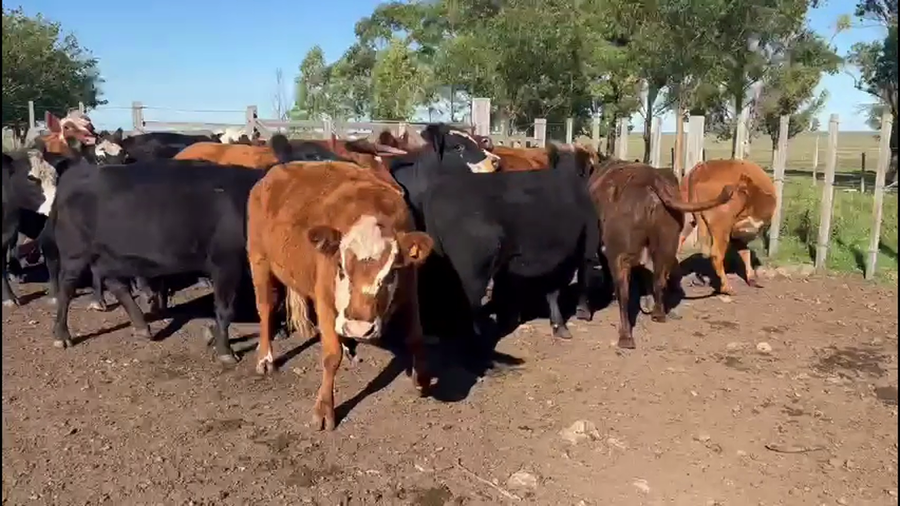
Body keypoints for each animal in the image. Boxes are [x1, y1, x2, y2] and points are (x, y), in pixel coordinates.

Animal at [38, 158, 266, 363]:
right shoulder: (226, 262)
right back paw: (62, 335)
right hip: (75, 254)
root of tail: (75, 173)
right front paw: (226, 351)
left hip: (109, 255)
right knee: (67, 289)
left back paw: (142, 327)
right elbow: (225, 309)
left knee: (115, 284)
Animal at [246, 161, 434, 431]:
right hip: (258, 259)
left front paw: (422, 378)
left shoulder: (409, 290)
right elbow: (330, 356)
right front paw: (325, 409)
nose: (358, 328)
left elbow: (416, 337)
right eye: (341, 268)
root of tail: (275, 172)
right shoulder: (325, 301)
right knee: (265, 307)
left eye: (390, 274)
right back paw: (265, 358)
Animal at [390, 125, 598, 346]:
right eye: (458, 146)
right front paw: (565, 322)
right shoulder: (572, 252)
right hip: (473, 267)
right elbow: (559, 288)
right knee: (472, 300)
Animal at [588, 159, 738, 349]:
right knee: (659, 278)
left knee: (624, 291)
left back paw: (625, 337)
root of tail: (650, 179)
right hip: (667, 239)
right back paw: (658, 314)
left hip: (621, 250)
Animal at [679, 159, 777, 294]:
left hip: (686, 218)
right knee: (716, 254)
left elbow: (745, 251)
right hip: (721, 225)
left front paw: (751, 278)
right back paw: (726, 288)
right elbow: (745, 251)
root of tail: (701, 169)